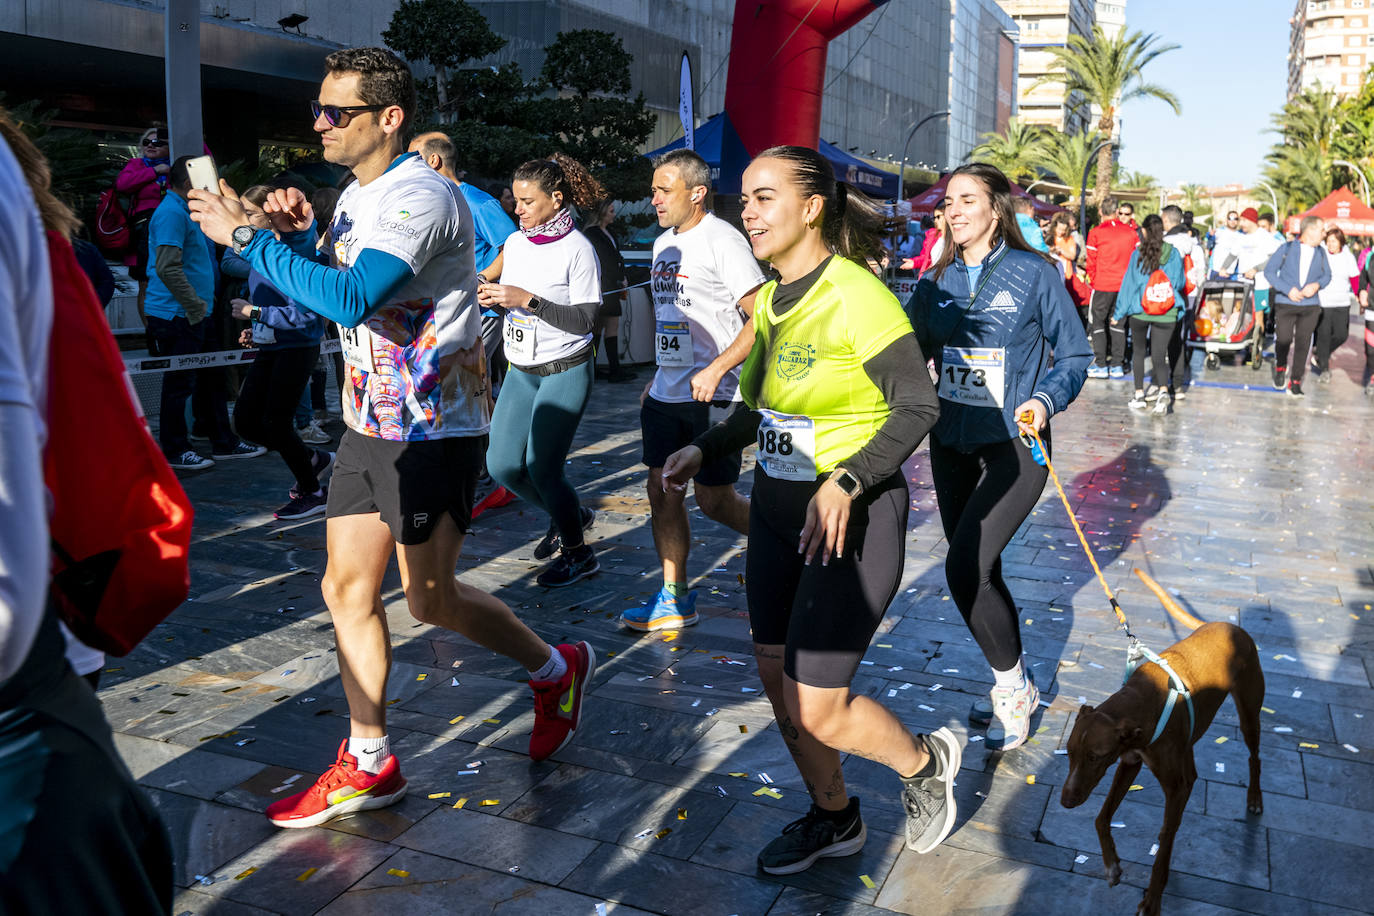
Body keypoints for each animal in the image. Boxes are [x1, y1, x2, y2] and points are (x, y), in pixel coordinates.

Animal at [1060, 568, 1264, 911]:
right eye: (1070, 753)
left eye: (1095, 757)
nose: (1065, 802)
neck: (1138, 701)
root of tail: (1228, 624)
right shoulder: (1129, 763)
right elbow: (1102, 818)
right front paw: (1112, 866)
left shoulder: (1166, 782)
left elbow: (1164, 849)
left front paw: (1153, 899)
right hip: (1189, 741)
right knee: (1191, 777)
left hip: (1249, 713)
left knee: (1254, 758)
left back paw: (1254, 799)